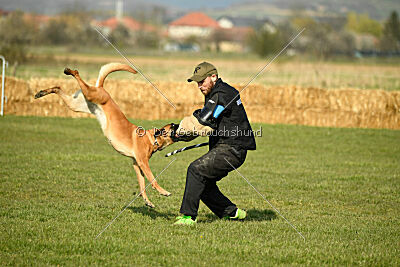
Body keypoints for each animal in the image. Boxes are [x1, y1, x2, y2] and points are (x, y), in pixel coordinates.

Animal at [34, 63, 178, 209]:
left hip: (76, 104)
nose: (179, 123)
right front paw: (163, 191)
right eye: (173, 126)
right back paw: (70, 71)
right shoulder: (143, 163)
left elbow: (142, 185)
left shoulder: (137, 165)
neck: (151, 138)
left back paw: (42, 92)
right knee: (79, 78)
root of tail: (101, 88)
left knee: (58, 88)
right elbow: (152, 179)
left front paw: (147, 201)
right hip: (91, 95)